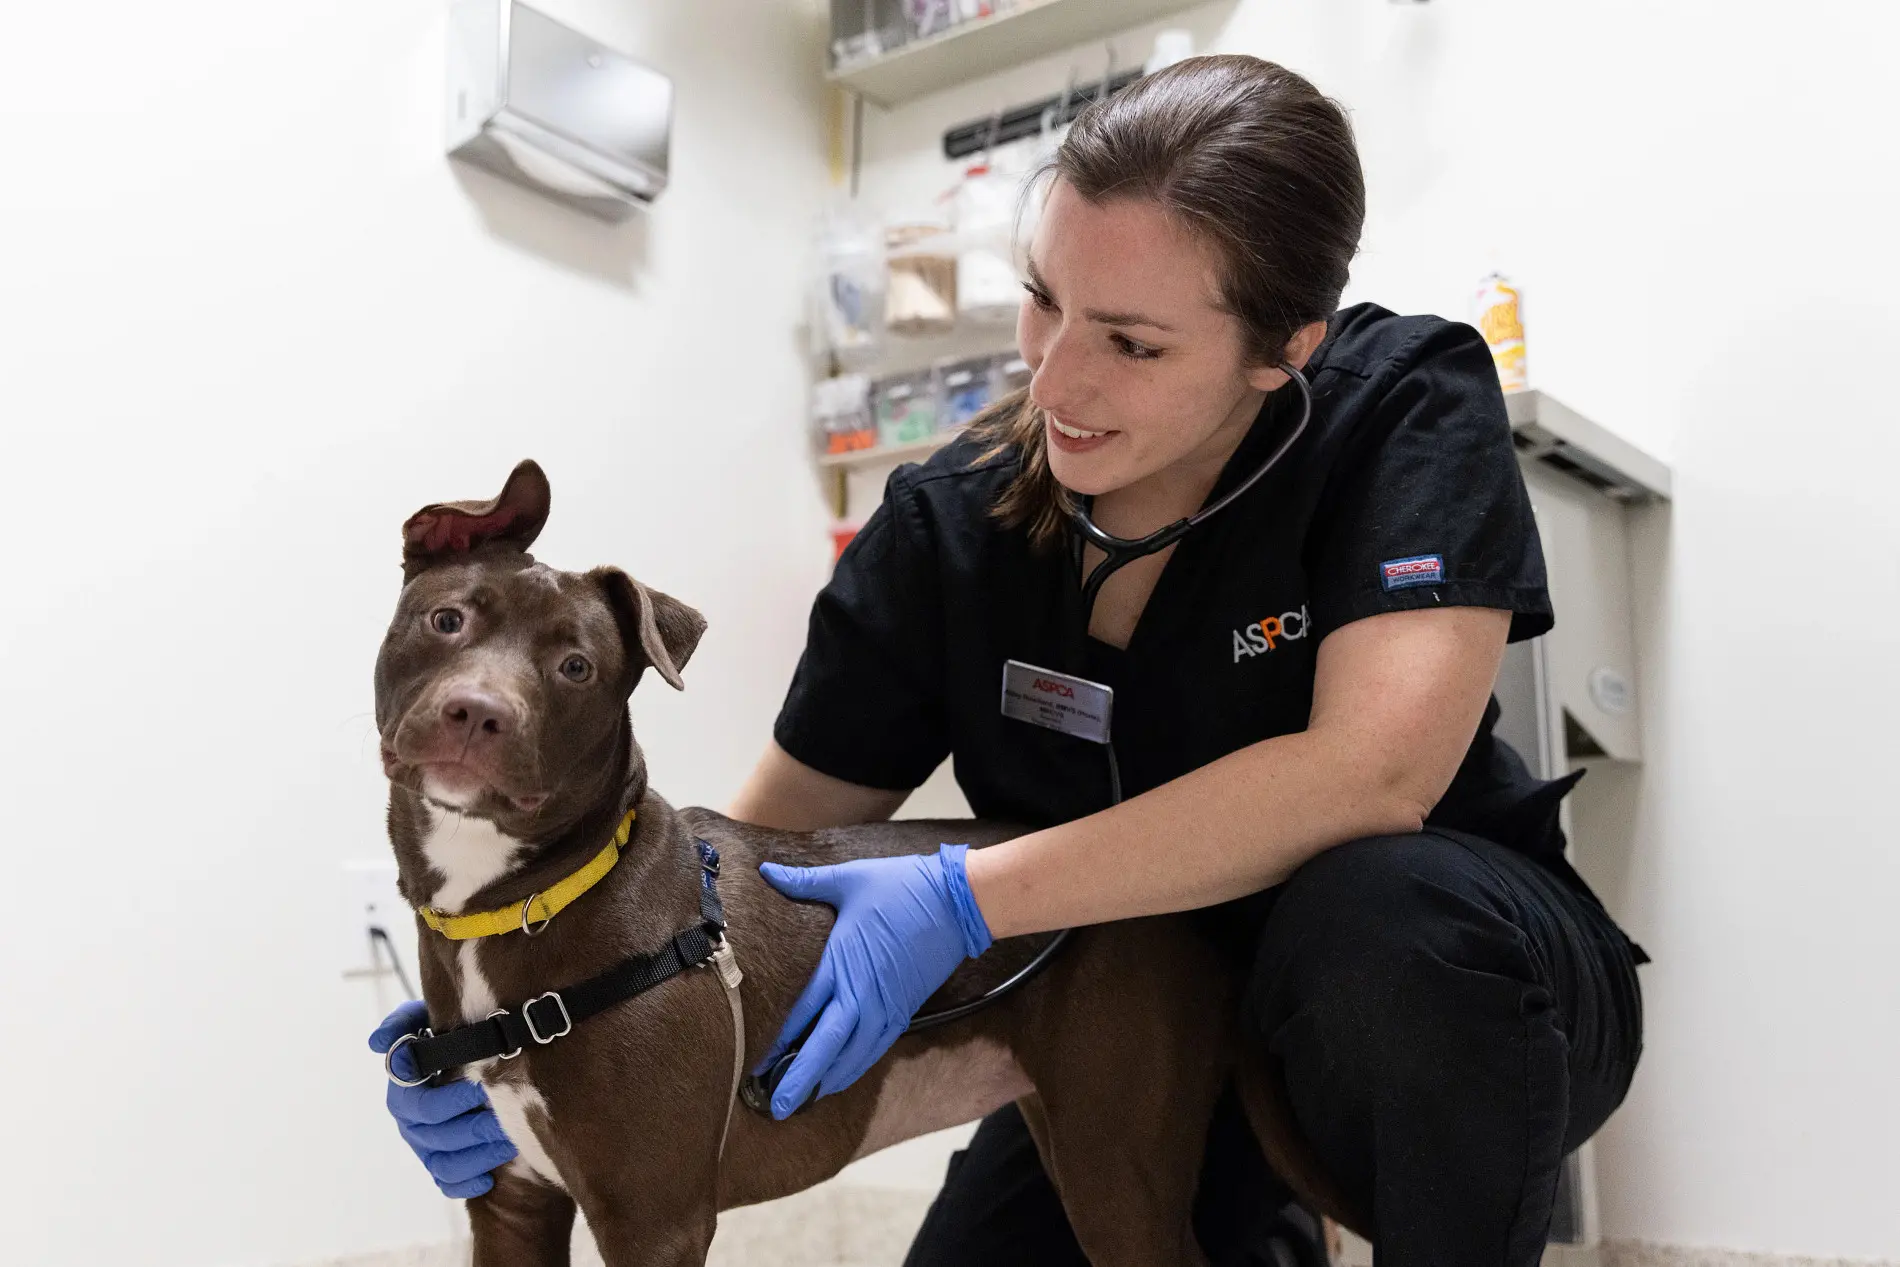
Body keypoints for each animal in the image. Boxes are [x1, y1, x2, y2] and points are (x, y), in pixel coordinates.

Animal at [370, 463, 1352, 1267]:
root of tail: (1190, 918)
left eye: (574, 667)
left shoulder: (653, 1220)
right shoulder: (511, 1204)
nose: (477, 712)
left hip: (1115, 1164)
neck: (524, 901)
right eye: (446, 619)